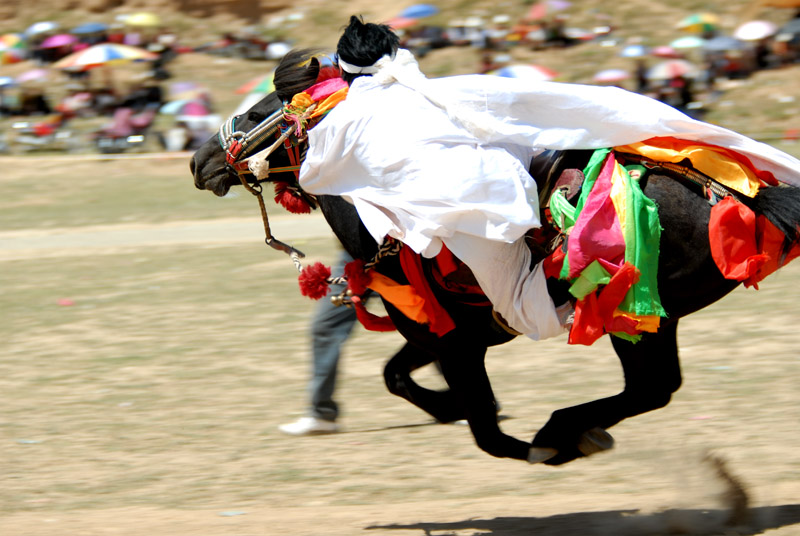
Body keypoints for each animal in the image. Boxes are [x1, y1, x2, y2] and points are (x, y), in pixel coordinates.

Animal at [191, 53, 800, 464]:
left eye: (262, 109)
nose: (200, 160)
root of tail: (739, 196)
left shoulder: (452, 342)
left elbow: (484, 430)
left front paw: (527, 440)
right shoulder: (444, 331)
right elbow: (398, 376)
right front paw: (446, 408)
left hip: (634, 313)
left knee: (649, 389)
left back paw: (562, 433)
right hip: (652, 317)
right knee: (655, 389)